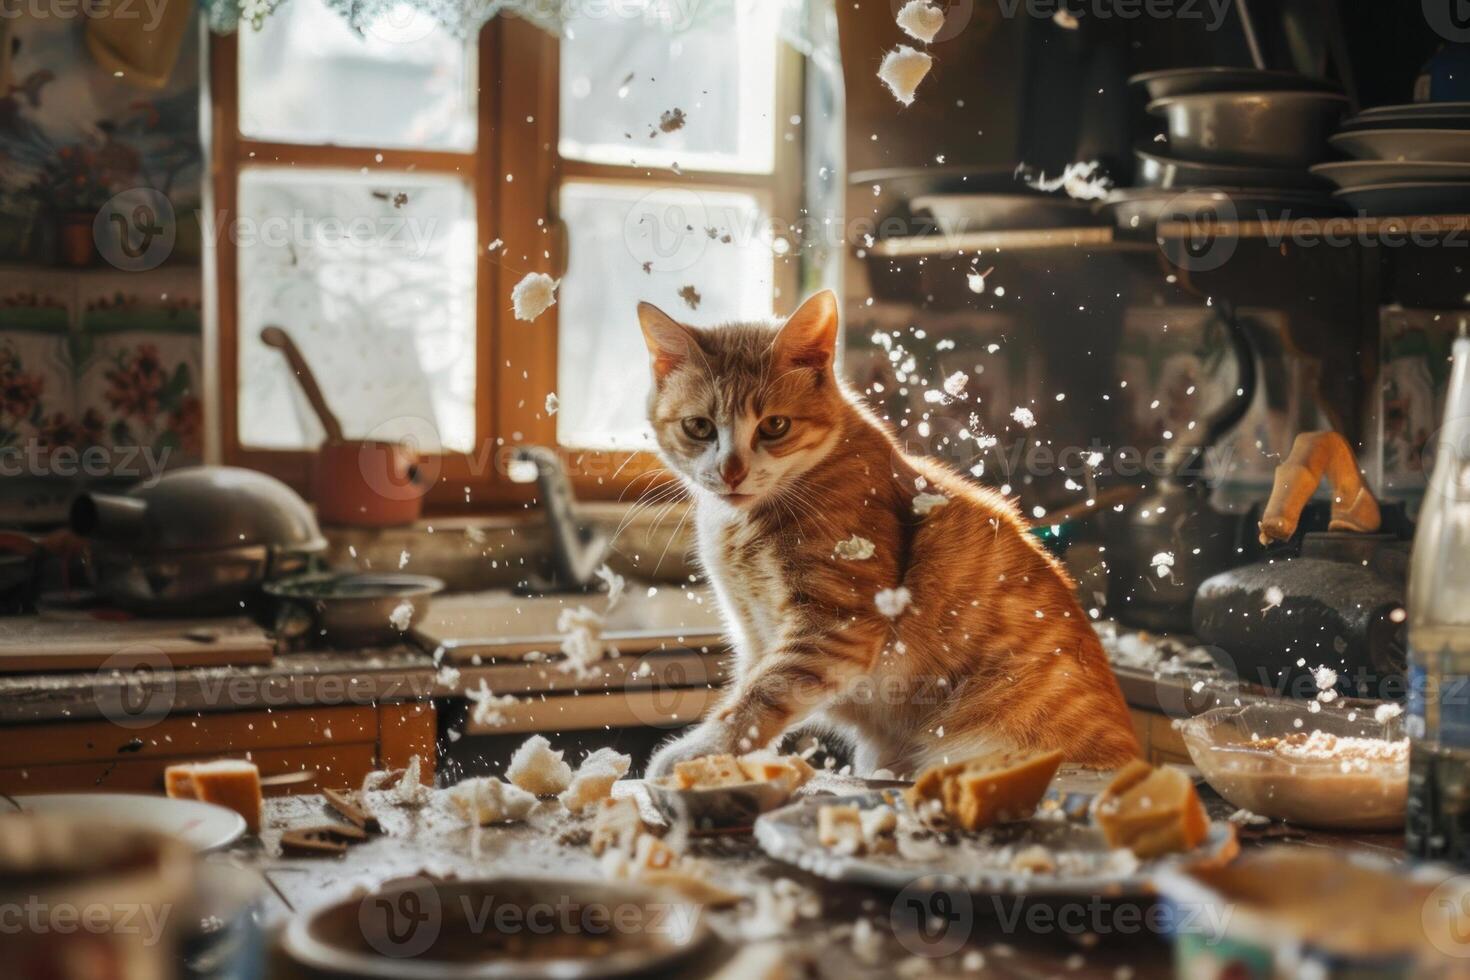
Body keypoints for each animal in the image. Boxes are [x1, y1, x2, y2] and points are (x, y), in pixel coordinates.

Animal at [640, 287, 1134, 775]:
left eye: (775, 425)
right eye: (699, 427)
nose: (732, 472)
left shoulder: (834, 627)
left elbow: (759, 698)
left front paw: (695, 754)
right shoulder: (755, 637)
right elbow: (748, 687)